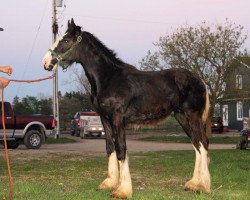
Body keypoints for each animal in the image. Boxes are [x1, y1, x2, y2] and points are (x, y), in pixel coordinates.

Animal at [43, 18, 211, 198]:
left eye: (66, 40)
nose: (46, 62)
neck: (109, 78)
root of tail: (199, 80)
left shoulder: (117, 119)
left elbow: (121, 149)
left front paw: (122, 190)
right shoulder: (105, 119)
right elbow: (110, 147)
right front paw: (109, 183)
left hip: (192, 116)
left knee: (202, 144)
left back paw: (203, 186)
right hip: (181, 116)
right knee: (196, 144)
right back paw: (193, 184)